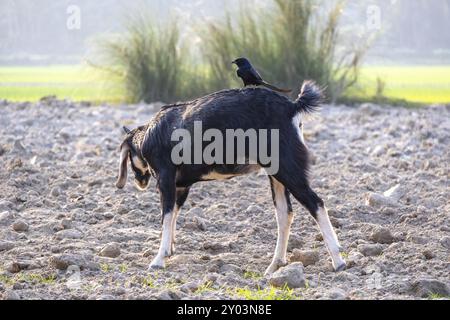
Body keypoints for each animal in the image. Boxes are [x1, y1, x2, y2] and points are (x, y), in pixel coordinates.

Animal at [115, 81, 344, 274]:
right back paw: (274, 265)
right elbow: (173, 215)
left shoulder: (166, 179)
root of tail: (293, 107)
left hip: (288, 168)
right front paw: (170, 250)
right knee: (284, 213)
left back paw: (338, 261)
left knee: (315, 203)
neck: (149, 135)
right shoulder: (181, 186)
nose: (139, 182)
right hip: (276, 173)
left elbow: (166, 216)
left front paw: (158, 259)